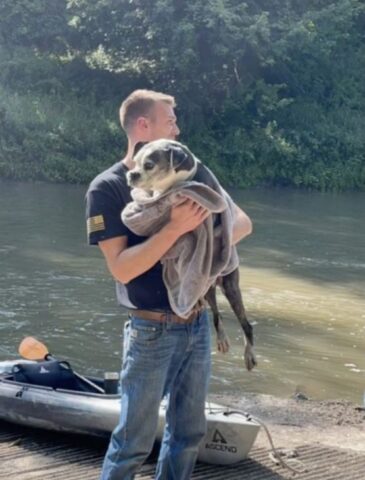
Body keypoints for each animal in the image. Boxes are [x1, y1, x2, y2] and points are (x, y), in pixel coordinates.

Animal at [127, 139, 256, 372]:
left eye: (149, 165)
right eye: (135, 161)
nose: (131, 174)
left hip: (230, 286)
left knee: (246, 325)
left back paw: (249, 355)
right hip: (209, 288)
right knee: (215, 314)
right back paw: (221, 338)